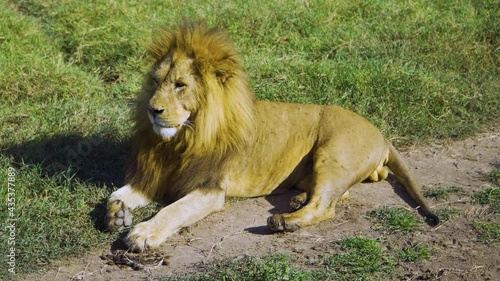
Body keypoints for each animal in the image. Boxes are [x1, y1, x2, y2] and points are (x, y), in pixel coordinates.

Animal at [106, 23, 438, 252]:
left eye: (179, 85)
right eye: (154, 81)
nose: (152, 110)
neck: (180, 140)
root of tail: (381, 133)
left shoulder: (209, 189)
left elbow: (173, 210)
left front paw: (143, 233)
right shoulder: (156, 174)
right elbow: (116, 194)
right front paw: (117, 215)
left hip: (333, 153)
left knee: (325, 205)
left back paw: (285, 221)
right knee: (336, 194)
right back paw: (298, 199)